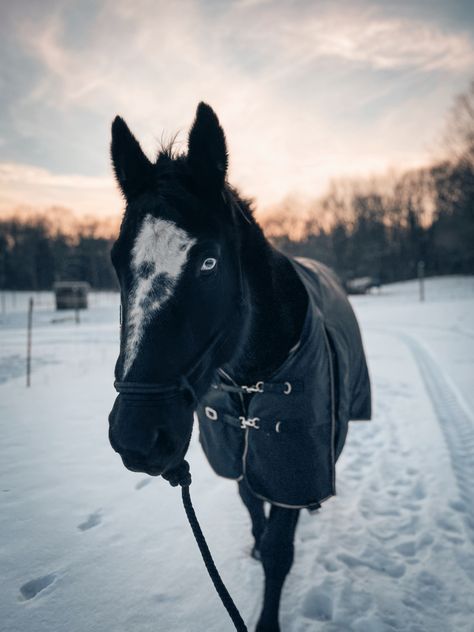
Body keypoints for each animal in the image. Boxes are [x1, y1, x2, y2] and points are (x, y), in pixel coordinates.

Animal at [107, 103, 370, 632]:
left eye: (209, 262)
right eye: (115, 262)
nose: (135, 437)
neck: (253, 377)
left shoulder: (292, 455)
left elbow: (279, 550)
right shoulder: (237, 450)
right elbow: (254, 507)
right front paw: (254, 539)